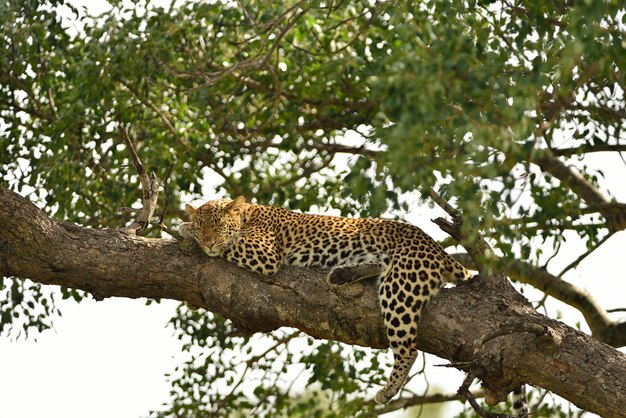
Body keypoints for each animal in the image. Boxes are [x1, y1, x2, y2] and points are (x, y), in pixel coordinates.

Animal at [178, 196, 470, 404]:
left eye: (218, 226)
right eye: (204, 227)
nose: (208, 242)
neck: (249, 213)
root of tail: (439, 250)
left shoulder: (263, 252)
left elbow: (229, 244)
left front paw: (184, 229)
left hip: (400, 287)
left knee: (408, 349)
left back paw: (388, 389)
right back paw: (343, 274)